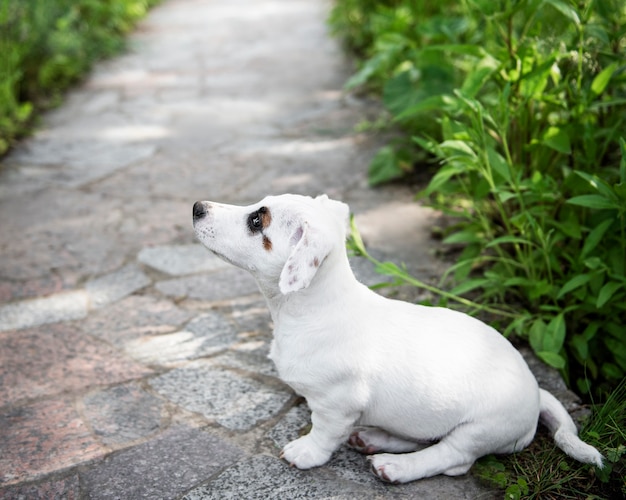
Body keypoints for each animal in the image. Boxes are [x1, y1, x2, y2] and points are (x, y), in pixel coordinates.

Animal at [190, 193, 600, 482]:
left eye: (256, 220)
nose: (197, 207)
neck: (309, 309)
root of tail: (538, 392)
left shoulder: (335, 405)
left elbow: (323, 434)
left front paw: (305, 452)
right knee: (423, 436)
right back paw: (375, 438)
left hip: (479, 430)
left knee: (451, 457)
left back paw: (397, 467)